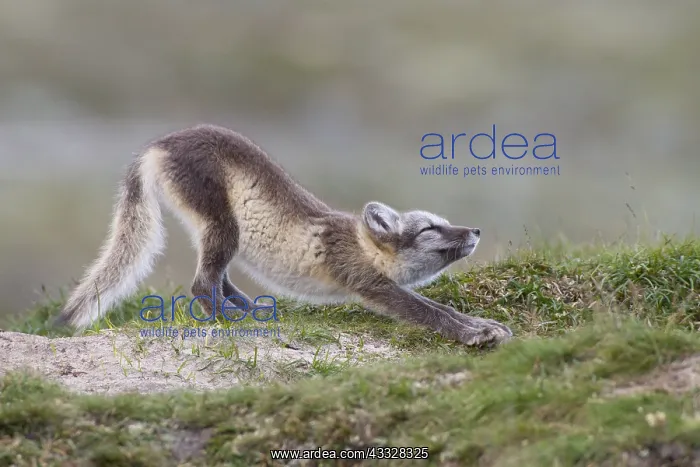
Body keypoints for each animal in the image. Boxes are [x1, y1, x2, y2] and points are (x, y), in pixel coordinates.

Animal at [54, 124, 513, 346]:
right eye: (430, 229)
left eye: (443, 221)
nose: (474, 230)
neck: (361, 244)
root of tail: (159, 144)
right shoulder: (368, 282)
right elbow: (427, 310)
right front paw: (473, 334)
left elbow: (438, 306)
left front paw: (484, 324)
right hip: (224, 227)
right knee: (201, 284)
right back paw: (233, 320)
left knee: (219, 280)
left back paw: (253, 311)